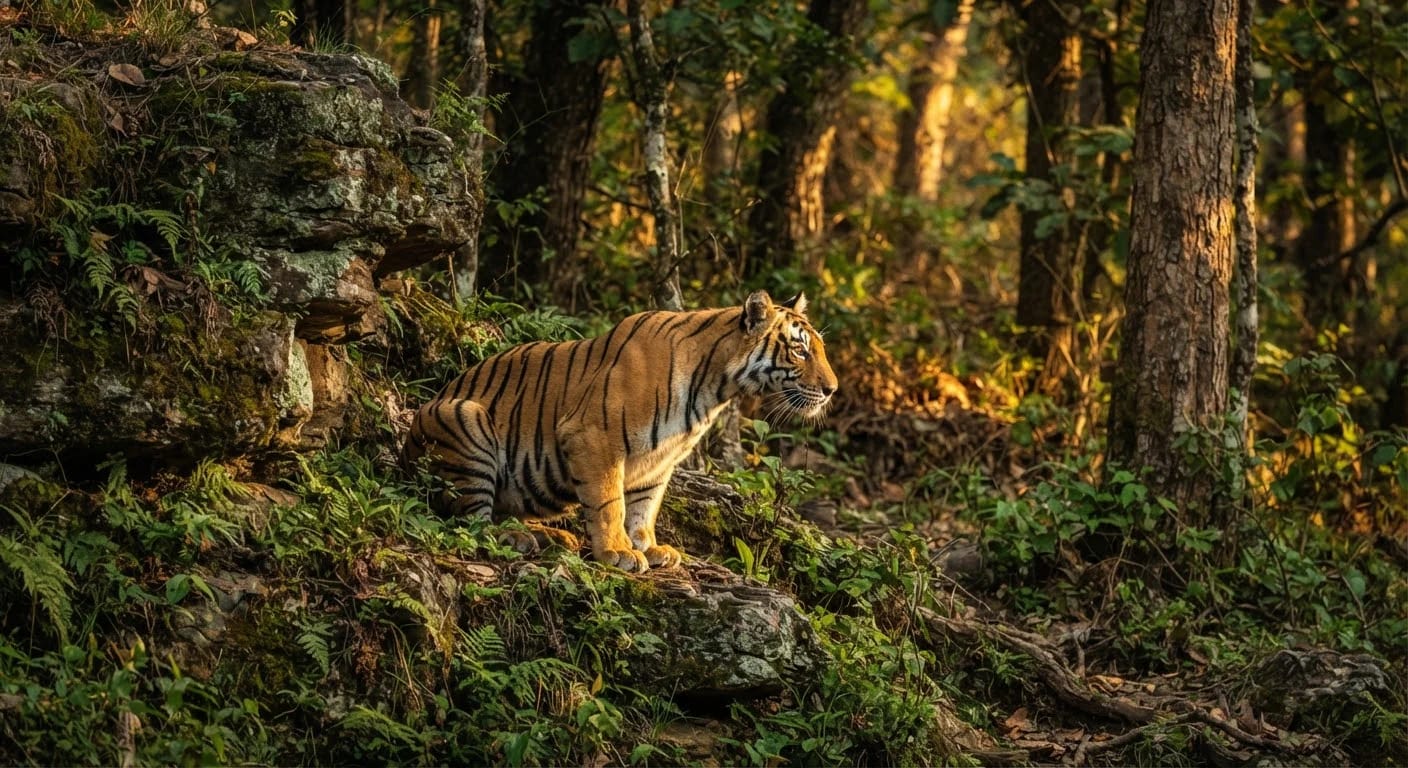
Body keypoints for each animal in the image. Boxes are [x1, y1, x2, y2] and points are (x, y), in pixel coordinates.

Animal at [402, 290, 837, 572]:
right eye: (800, 350)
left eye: (820, 348)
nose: (833, 389)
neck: (717, 387)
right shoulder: (594, 438)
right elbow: (610, 502)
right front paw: (618, 552)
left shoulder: (660, 460)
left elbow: (644, 506)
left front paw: (650, 547)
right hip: (465, 416)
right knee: (469, 523)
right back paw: (518, 539)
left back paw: (550, 536)